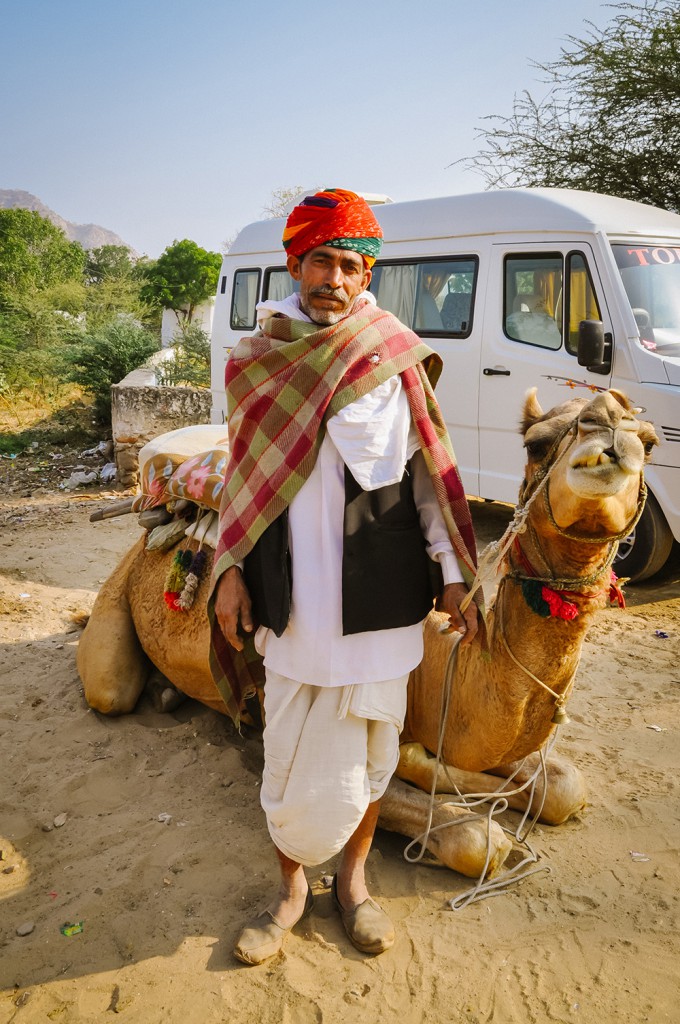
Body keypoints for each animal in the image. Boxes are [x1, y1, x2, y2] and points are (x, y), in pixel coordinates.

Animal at [76, 387, 655, 884]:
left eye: (649, 441)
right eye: (536, 443)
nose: (608, 422)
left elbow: (563, 785)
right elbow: (475, 840)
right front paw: (467, 814)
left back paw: (167, 692)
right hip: (118, 606)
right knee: (109, 689)